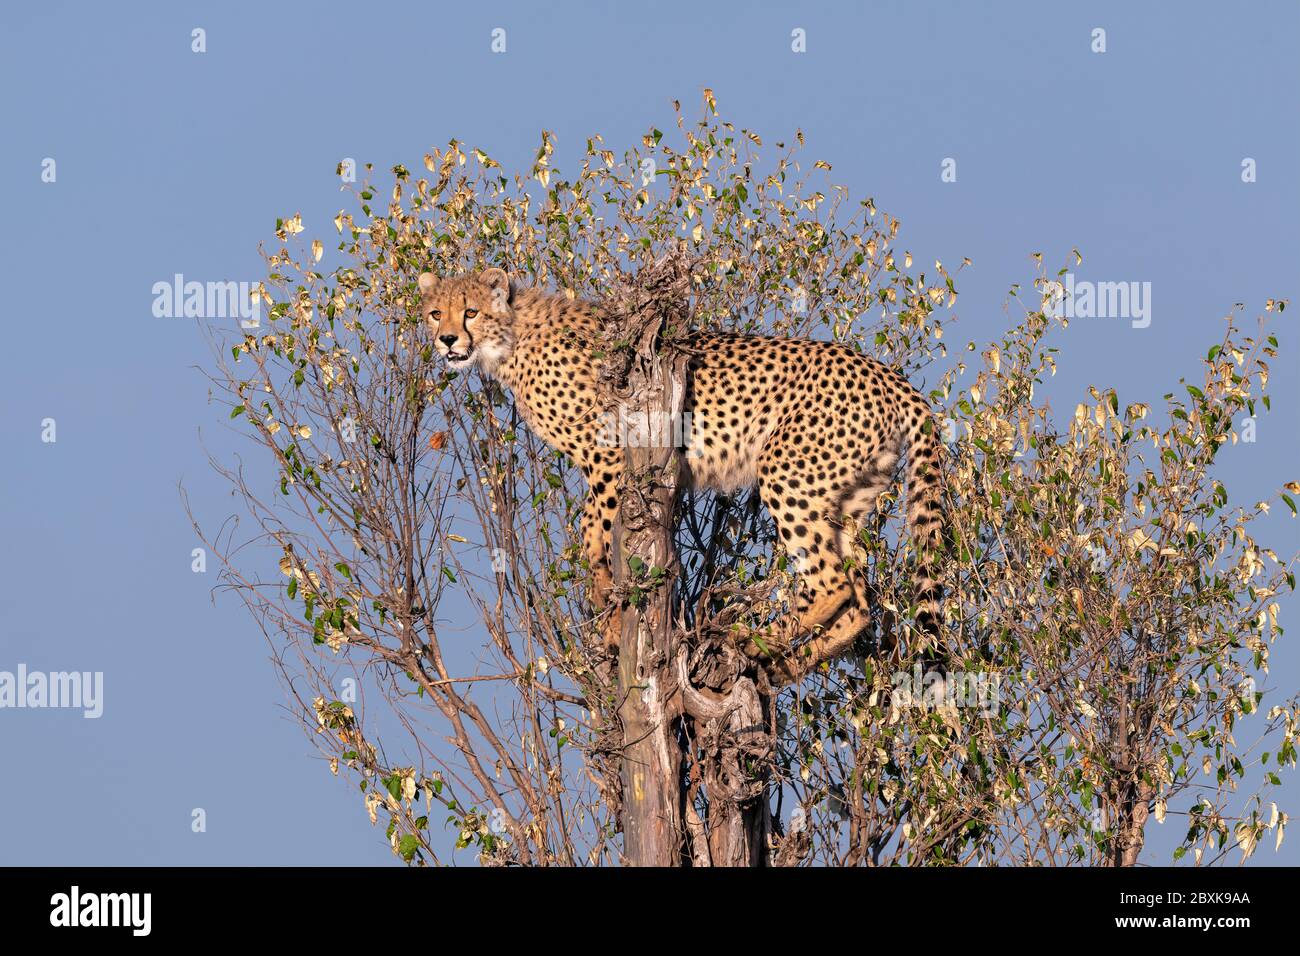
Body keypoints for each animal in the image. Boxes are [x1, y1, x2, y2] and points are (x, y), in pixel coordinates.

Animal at [423, 269, 946, 686]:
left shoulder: (610, 454)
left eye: (469, 312)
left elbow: (593, 525)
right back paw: (784, 664)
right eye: (434, 313)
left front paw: (606, 608)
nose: (447, 340)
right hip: (846, 498)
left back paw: (753, 640)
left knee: (832, 581)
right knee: (859, 602)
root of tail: (888, 373)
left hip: (787, 472)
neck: (513, 336)